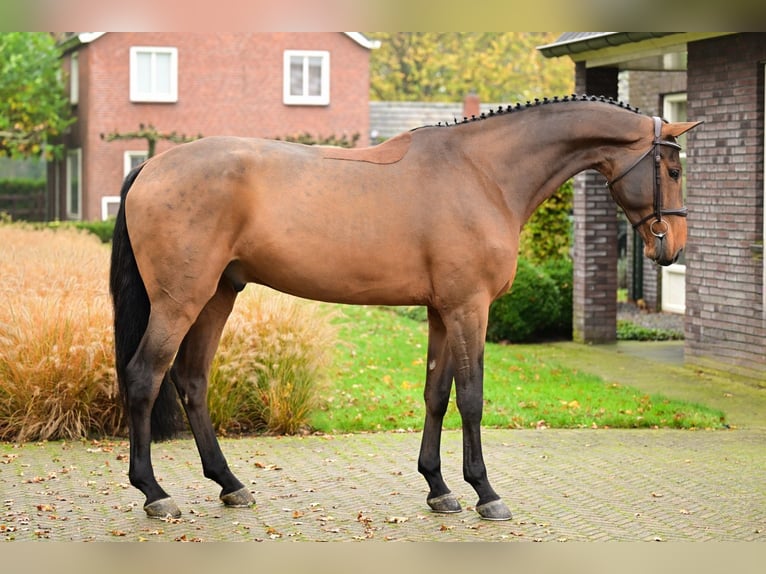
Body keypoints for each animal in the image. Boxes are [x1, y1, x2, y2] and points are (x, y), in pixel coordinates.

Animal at [108, 98, 704, 520]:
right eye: (673, 171)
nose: (673, 246)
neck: (482, 172)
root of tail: (152, 166)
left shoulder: (441, 311)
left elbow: (436, 395)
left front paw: (439, 488)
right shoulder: (469, 309)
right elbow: (471, 398)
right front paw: (485, 492)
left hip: (217, 295)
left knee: (191, 380)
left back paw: (230, 485)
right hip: (181, 300)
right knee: (144, 376)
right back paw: (155, 493)